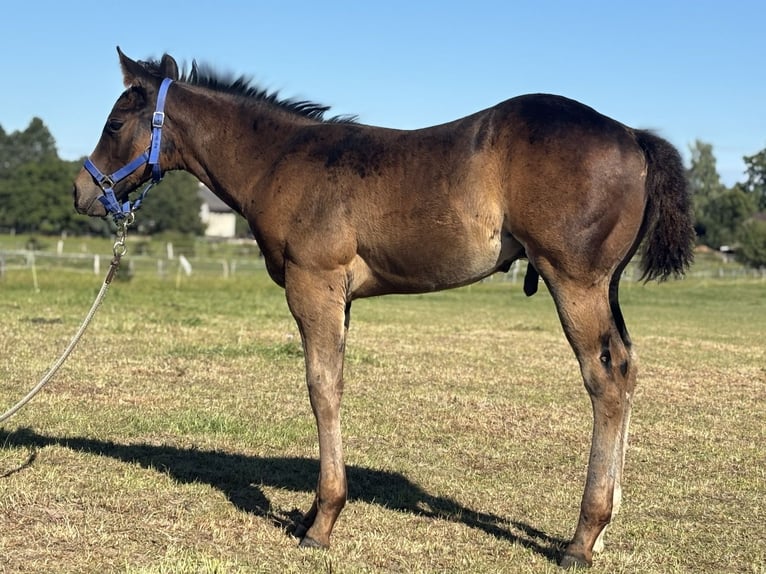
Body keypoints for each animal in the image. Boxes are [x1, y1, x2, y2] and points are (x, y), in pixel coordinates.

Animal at [73, 48, 694, 569]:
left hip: (576, 282)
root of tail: (634, 136)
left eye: (113, 125)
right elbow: (333, 382)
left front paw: (322, 522)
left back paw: (583, 538)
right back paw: (606, 527)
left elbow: (322, 386)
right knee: (628, 369)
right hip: (606, 286)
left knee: (604, 378)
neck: (279, 160)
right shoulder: (339, 298)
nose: (83, 191)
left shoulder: (313, 285)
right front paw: (313, 512)